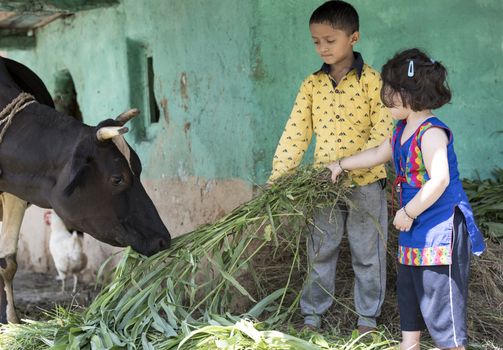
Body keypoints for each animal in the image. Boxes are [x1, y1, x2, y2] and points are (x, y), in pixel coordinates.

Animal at [0, 56, 171, 322]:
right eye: (117, 178)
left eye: (139, 168)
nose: (163, 239)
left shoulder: (15, 192)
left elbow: (7, 262)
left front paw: (11, 321)